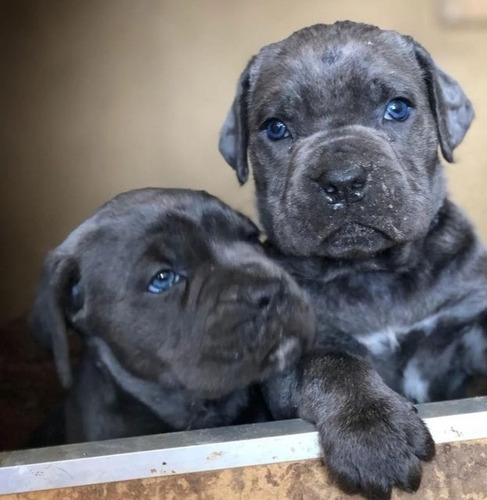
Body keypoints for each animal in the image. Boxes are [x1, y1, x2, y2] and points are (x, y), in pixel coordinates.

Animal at [217, 19, 487, 500]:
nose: (343, 181)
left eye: (398, 109)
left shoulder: (468, 322)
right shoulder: (286, 358)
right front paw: (373, 429)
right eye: (276, 128)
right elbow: (333, 363)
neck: (371, 272)